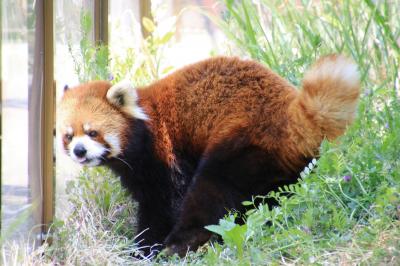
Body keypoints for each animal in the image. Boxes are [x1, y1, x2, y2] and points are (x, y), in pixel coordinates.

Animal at [58, 55, 360, 258]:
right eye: (69, 136)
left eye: (93, 132)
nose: (79, 151)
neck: (145, 125)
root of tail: (292, 113)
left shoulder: (165, 158)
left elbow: (163, 205)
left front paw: (144, 247)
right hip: (285, 166)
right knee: (274, 196)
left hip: (241, 143)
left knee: (211, 193)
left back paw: (180, 244)